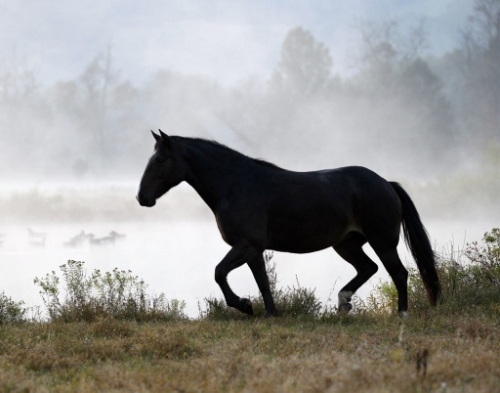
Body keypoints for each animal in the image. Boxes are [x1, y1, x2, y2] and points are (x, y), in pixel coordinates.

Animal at [138, 129, 442, 316]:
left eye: (161, 159)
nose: (142, 197)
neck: (236, 185)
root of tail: (386, 184)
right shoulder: (253, 250)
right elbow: (262, 281)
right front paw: (269, 313)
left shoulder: (246, 245)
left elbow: (219, 272)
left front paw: (244, 305)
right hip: (346, 244)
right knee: (369, 268)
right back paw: (343, 302)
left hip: (382, 242)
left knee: (399, 273)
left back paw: (401, 314)